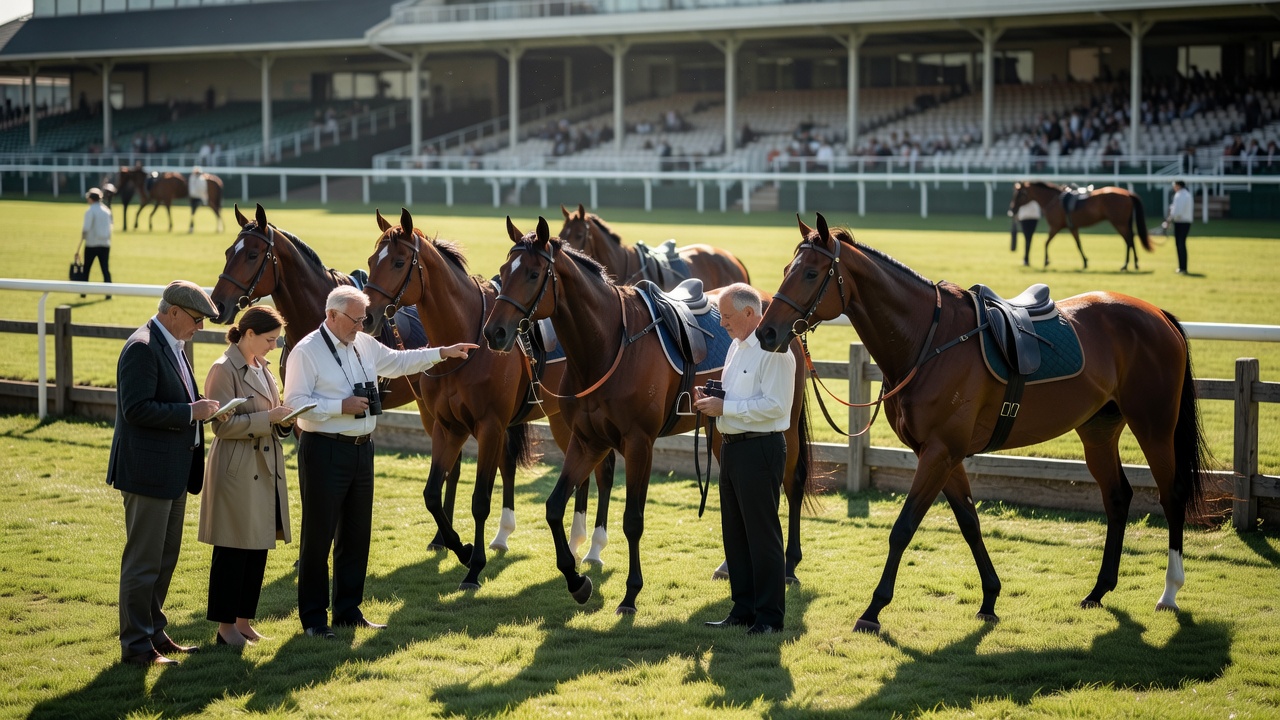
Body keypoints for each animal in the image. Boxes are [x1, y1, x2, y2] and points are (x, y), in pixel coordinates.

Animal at [209, 203, 477, 552]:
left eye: (253, 255)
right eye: (230, 251)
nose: (218, 305)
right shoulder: (301, 419)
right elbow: (311, 479)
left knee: (451, 469)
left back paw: (440, 539)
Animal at [361, 208, 619, 587]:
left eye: (397, 262)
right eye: (370, 260)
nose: (366, 315)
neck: (464, 343)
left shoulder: (490, 426)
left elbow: (480, 499)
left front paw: (474, 566)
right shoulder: (448, 427)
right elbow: (431, 494)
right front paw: (461, 547)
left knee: (604, 471)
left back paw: (594, 549)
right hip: (562, 419)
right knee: (582, 475)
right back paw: (572, 541)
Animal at [483, 217, 813, 614]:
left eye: (533, 274)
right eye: (504, 271)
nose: (494, 331)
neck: (608, 346)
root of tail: (777, 316)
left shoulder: (639, 444)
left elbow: (633, 521)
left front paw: (630, 594)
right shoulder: (588, 441)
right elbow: (553, 506)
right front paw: (578, 581)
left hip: (784, 425)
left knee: (791, 483)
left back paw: (790, 566)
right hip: (720, 434)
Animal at [756, 213, 1210, 634]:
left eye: (811, 273)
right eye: (787, 269)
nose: (766, 332)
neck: (929, 341)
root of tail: (1157, 315)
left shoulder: (939, 453)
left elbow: (903, 528)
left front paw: (873, 610)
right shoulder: (944, 455)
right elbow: (970, 523)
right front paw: (990, 597)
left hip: (1154, 426)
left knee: (1171, 495)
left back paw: (1170, 592)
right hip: (1098, 431)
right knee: (1117, 497)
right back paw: (1098, 591)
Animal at [1009, 181, 1152, 271]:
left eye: (1020, 194)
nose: (1012, 210)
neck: (1054, 200)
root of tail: (1127, 193)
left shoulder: (1055, 227)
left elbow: (1046, 242)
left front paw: (1046, 261)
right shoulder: (1073, 228)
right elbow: (1078, 244)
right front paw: (1085, 262)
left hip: (1119, 223)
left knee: (1128, 240)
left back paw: (1126, 265)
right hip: (1124, 223)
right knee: (1131, 239)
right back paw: (1135, 263)